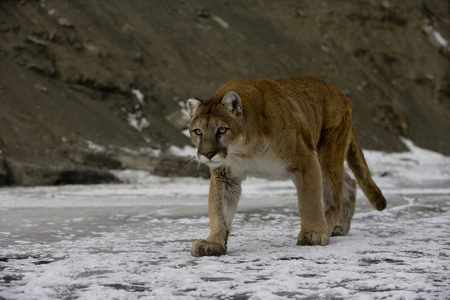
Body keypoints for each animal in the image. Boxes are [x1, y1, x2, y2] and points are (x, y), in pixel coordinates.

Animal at [186, 76, 386, 256]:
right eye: (198, 131)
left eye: (221, 129)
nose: (208, 154)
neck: (246, 147)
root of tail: (342, 94)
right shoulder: (226, 174)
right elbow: (219, 208)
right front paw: (213, 242)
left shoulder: (306, 159)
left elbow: (309, 201)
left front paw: (313, 234)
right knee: (350, 182)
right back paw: (340, 227)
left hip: (327, 154)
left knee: (334, 196)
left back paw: (328, 227)